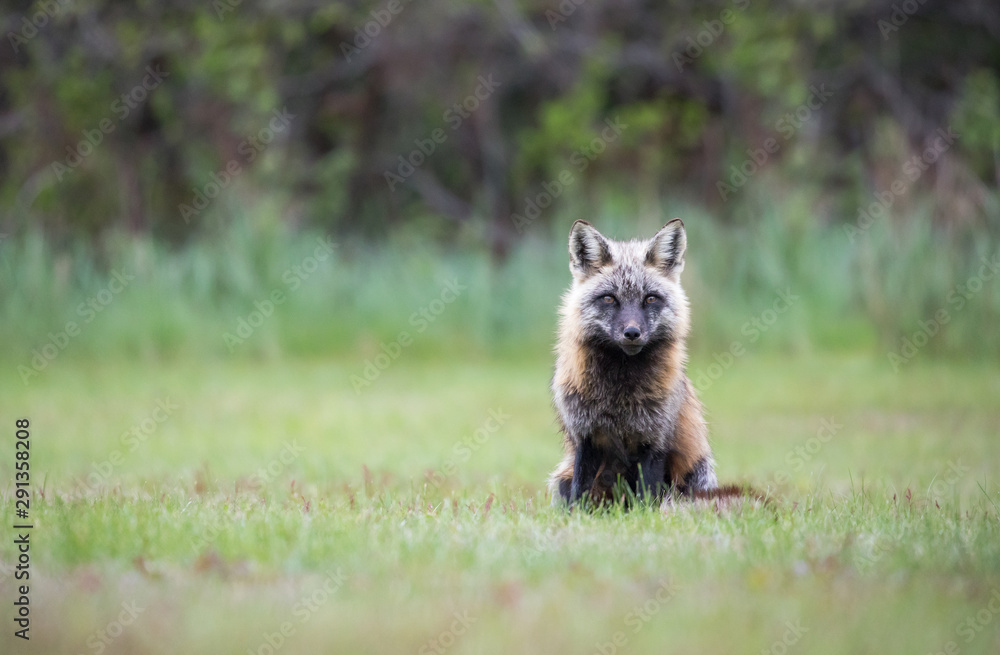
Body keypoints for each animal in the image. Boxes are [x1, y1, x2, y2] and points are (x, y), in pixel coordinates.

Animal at [548, 219, 719, 507]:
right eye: (609, 298)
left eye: (650, 298)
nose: (632, 333)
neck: (619, 395)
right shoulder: (586, 437)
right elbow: (579, 496)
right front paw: (577, 517)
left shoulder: (655, 440)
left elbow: (645, 501)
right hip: (561, 477)